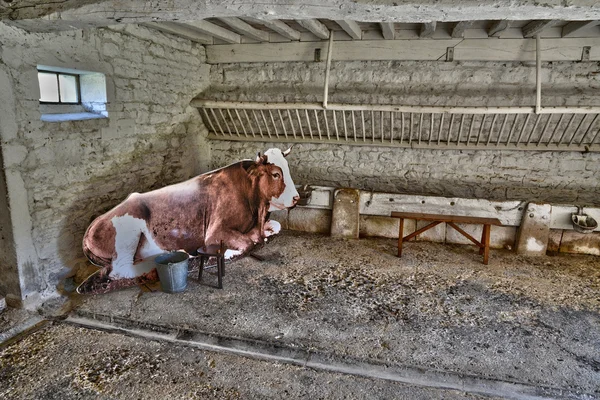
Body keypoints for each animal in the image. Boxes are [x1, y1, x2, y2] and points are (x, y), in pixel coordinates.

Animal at [83, 145, 298, 280]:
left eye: (287, 169)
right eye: (276, 174)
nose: (296, 198)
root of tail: (92, 225)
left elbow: (273, 228)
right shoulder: (214, 231)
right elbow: (247, 244)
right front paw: (225, 253)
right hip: (128, 236)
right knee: (121, 271)